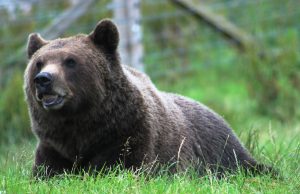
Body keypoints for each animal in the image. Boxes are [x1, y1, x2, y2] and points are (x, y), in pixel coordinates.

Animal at [24, 19, 274, 177]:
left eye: (70, 61)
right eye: (39, 62)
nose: (43, 79)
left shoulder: (129, 134)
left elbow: (123, 167)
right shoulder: (55, 144)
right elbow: (47, 172)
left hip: (220, 149)